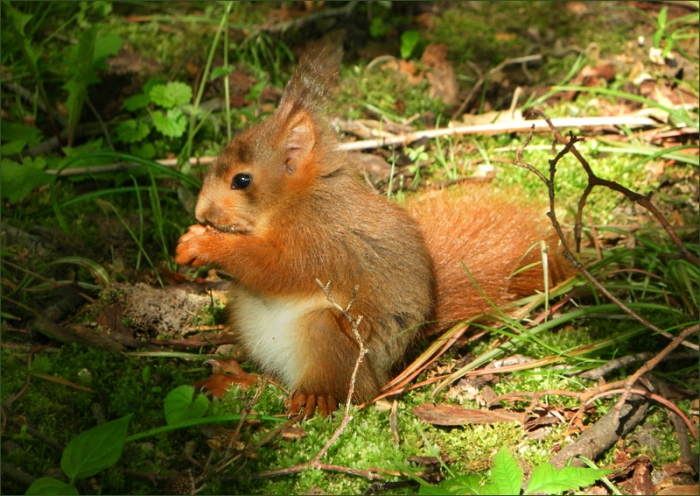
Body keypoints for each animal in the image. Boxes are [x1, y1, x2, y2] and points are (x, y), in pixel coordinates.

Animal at [175, 54, 566, 417]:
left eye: (241, 180)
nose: (200, 213)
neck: (294, 201)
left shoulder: (320, 239)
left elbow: (278, 269)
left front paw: (205, 243)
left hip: (329, 338)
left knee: (338, 391)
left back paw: (313, 398)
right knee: (269, 381)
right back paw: (234, 378)